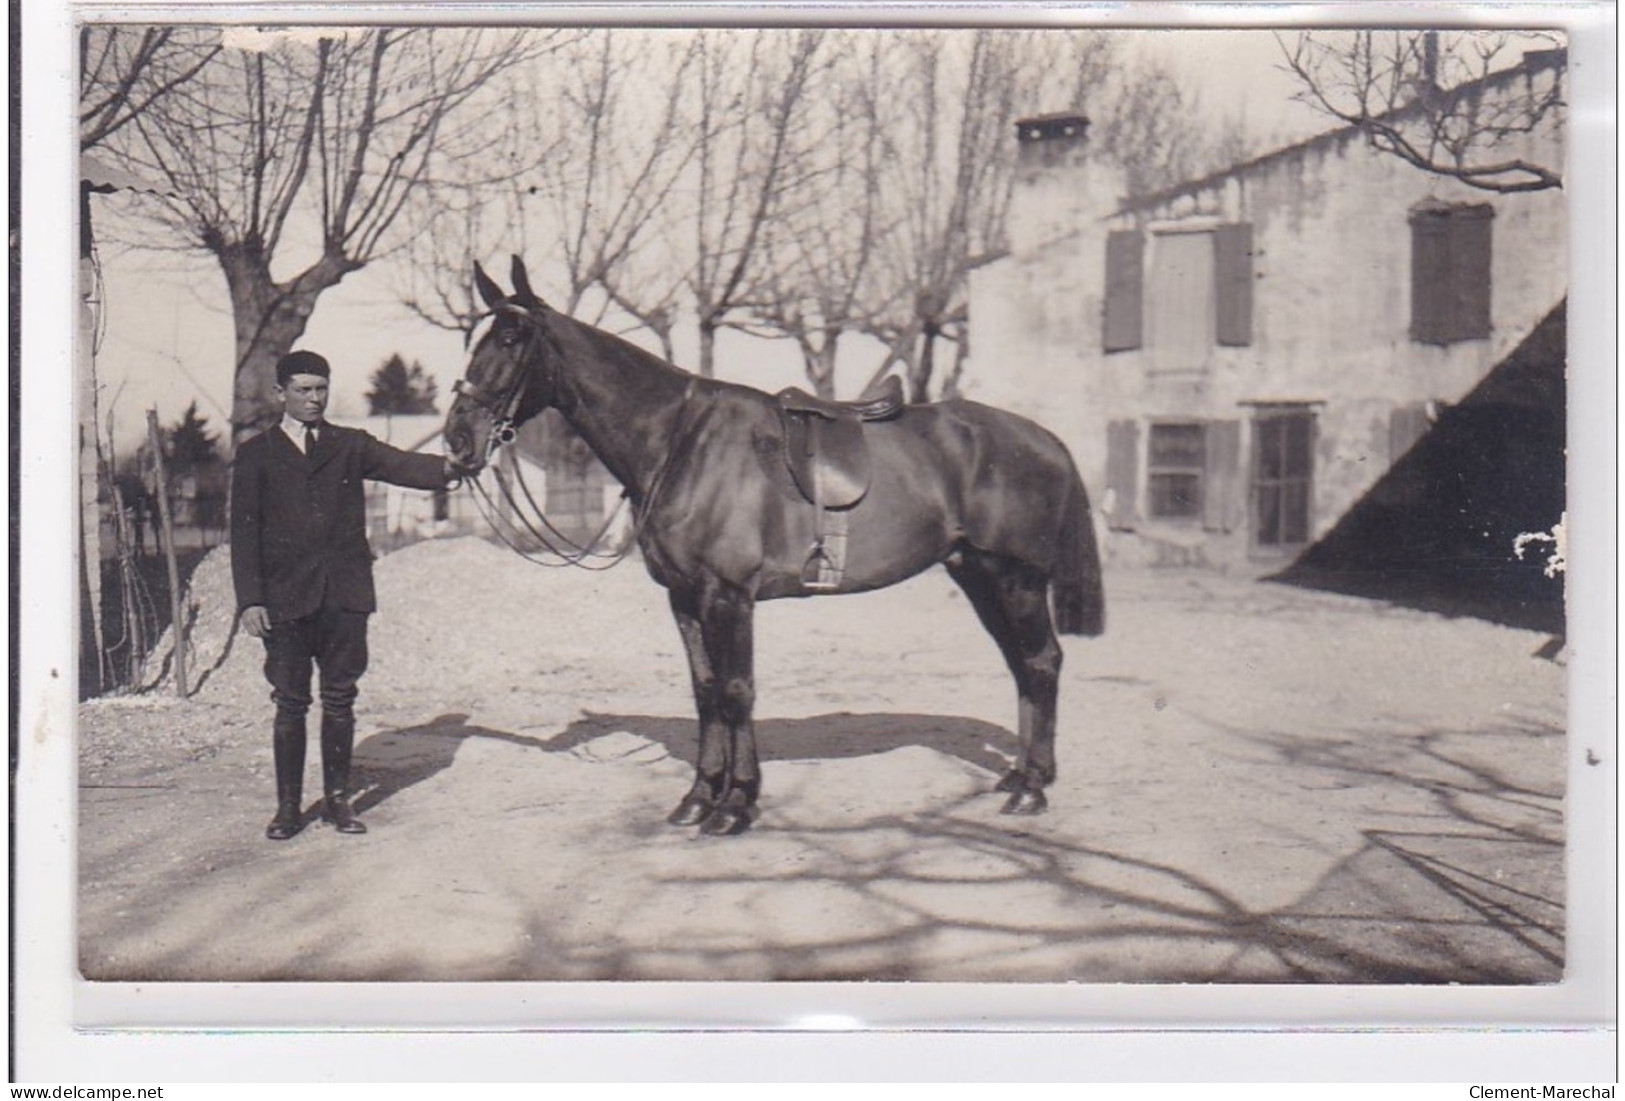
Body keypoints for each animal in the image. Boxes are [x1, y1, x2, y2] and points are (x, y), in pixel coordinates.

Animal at [445, 258, 1105, 837]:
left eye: (511, 338)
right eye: (475, 339)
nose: (457, 440)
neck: (679, 442)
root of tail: (1042, 438)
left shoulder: (728, 595)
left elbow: (738, 691)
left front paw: (736, 805)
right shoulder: (684, 598)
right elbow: (707, 691)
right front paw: (698, 798)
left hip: (1017, 579)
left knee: (1042, 661)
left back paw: (1032, 789)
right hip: (977, 576)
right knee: (1021, 664)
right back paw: (1019, 775)